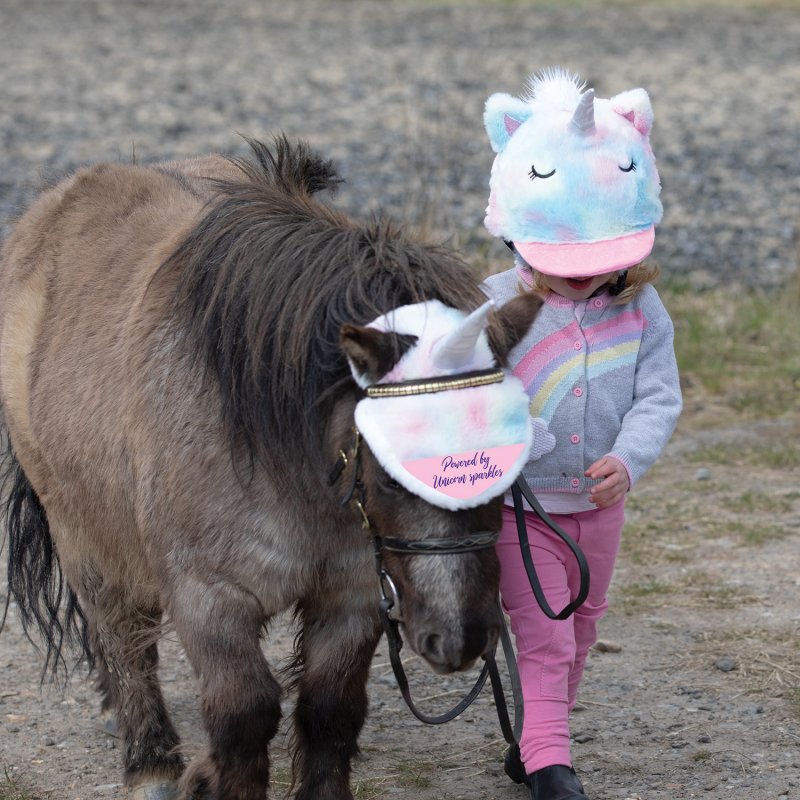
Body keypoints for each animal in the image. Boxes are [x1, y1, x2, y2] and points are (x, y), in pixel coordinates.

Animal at [0, 139, 540, 800]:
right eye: (390, 474)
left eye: (513, 467)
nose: (459, 639)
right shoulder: (210, 600)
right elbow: (244, 716)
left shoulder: (352, 593)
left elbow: (329, 710)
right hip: (84, 536)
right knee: (123, 638)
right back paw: (150, 764)